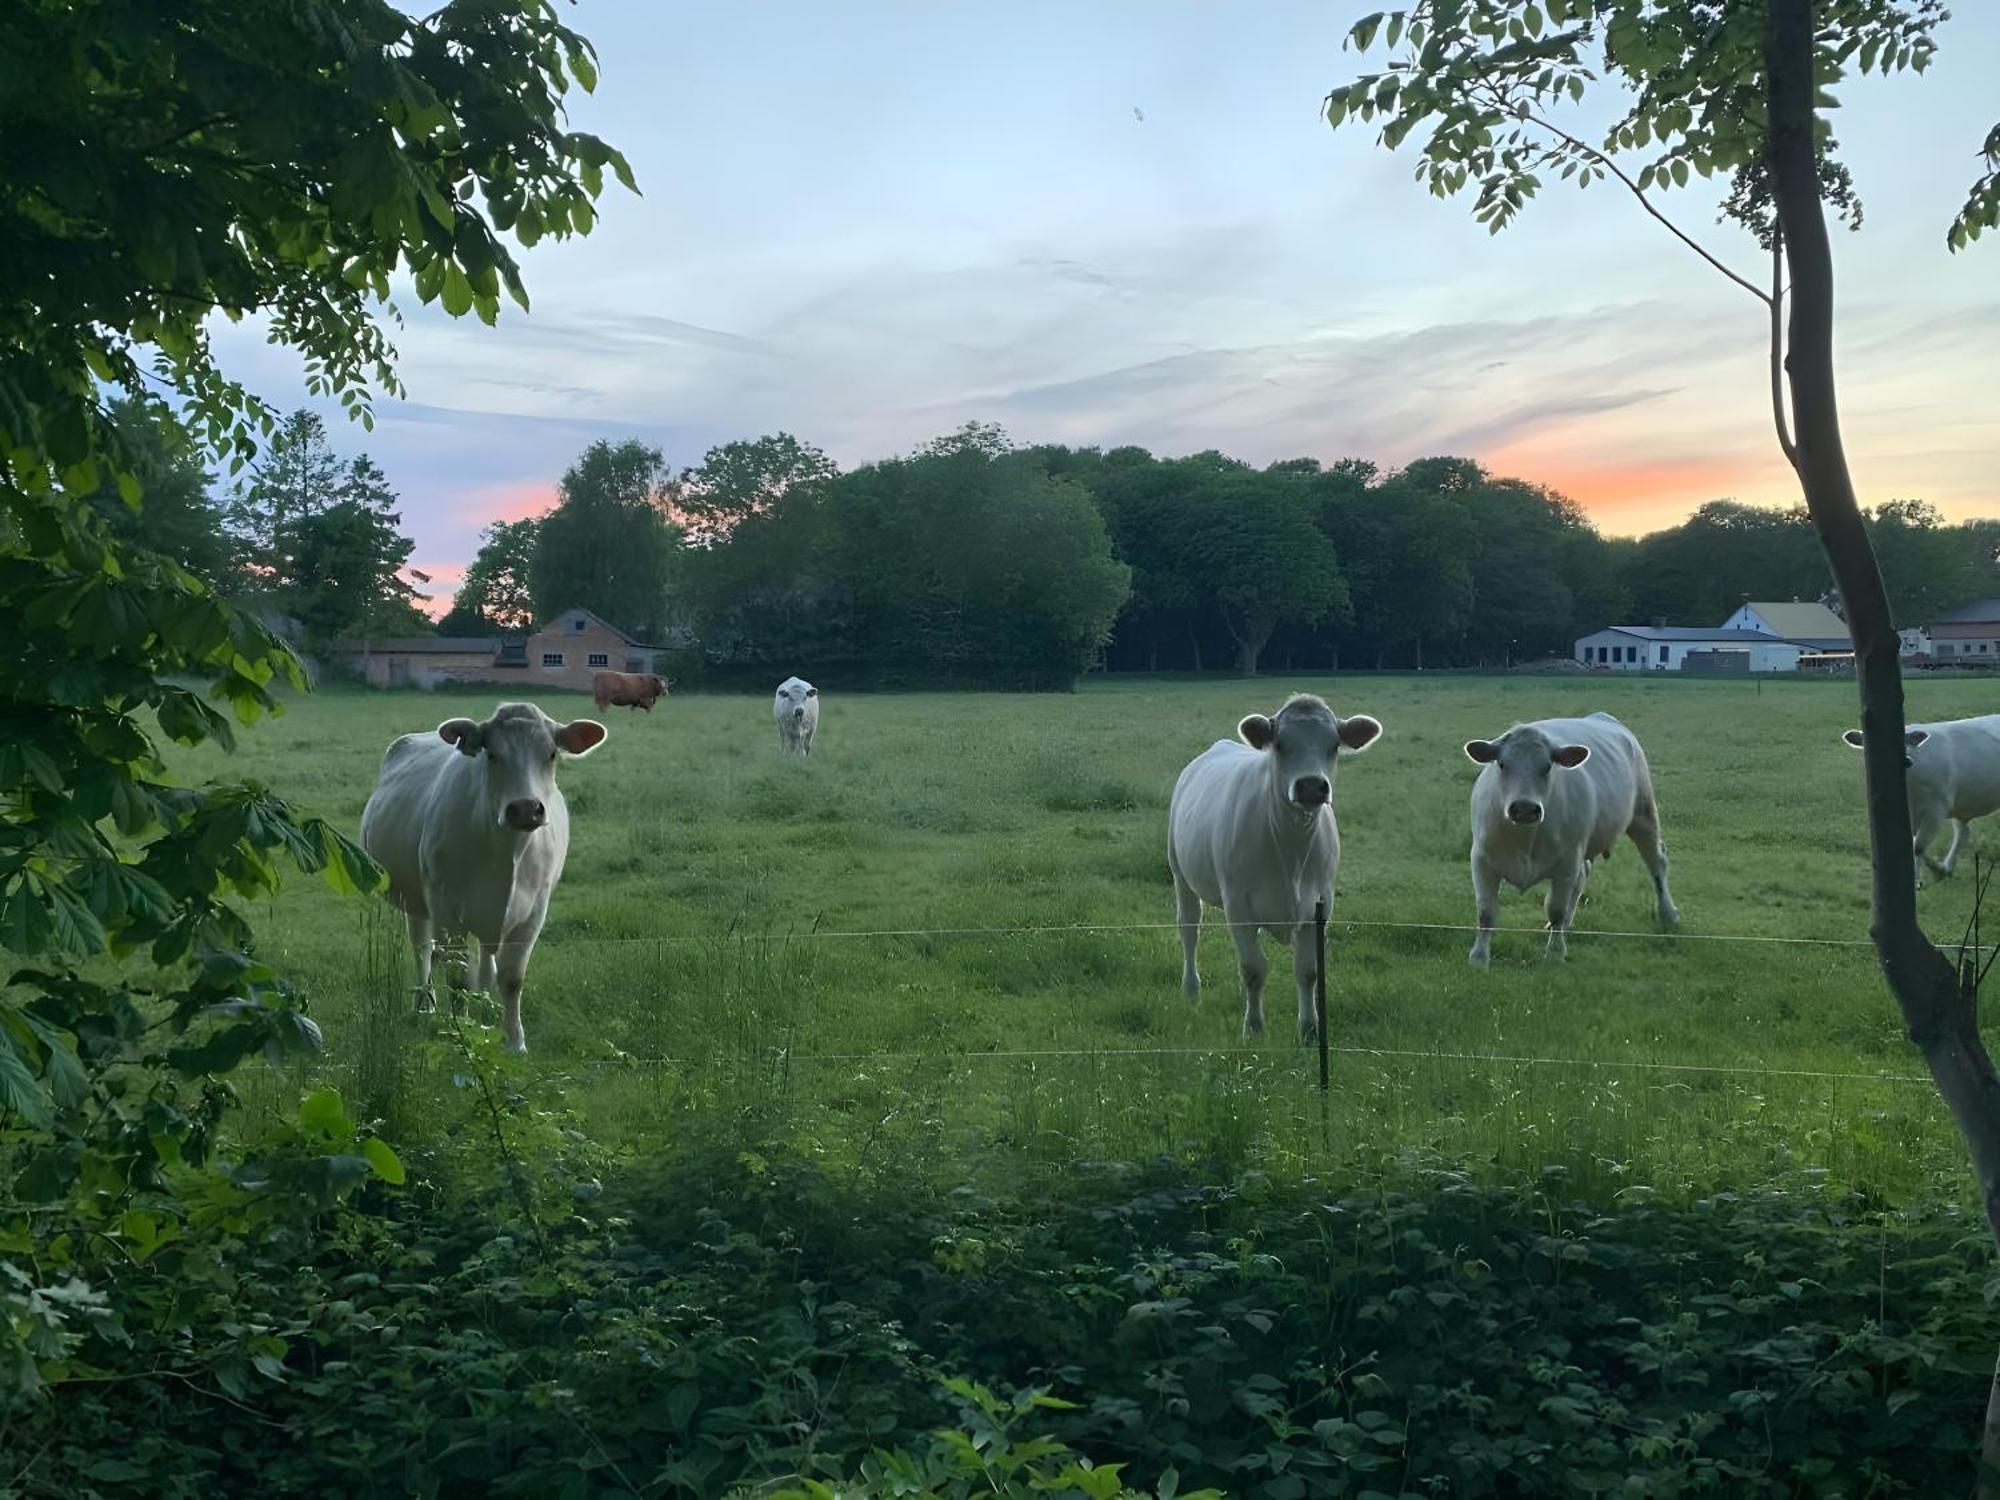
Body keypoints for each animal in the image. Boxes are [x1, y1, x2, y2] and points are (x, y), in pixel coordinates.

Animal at [360, 704, 604, 1056]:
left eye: (551, 754)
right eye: (492, 754)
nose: (525, 809)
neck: (505, 854)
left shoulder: (534, 913)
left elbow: (511, 977)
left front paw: (514, 1042)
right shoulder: (447, 910)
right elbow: (458, 976)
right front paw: (462, 1030)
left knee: (485, 964)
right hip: (417, 902)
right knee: (423, 950)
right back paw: (426, 1005)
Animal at [1168, 696, 1384, 1040]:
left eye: (1334, 745)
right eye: (1280, 744)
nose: (1311, 786)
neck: (1290, 847)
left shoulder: (1319, 906)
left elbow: (1308, 971)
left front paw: (1309, 1030)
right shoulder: (1238, 906)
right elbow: (1253, 969)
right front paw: (1254, 1028)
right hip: (1181, 874)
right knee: (1190, 930)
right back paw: (1191, 990)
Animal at [1464, 712, 1680, 968]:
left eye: (1547, 766)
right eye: (1502, 764)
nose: (1525, 808)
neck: (1525, 839)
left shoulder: (1566, 862)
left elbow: (1555, 909)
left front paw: (1555, 952)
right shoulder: (1482, 860)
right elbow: (1485, 911)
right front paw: (1479, 957)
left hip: (1643, 813)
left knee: (1656, 862)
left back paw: (1668, 913)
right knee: (1582, 877)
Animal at [1840, 712, 2000, 888]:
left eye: (1906, 741)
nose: (1906, 760)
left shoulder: (1936, 809)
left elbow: (1919, 847)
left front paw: (1929, 873)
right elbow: (1911, 844)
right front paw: (1925, 875)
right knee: (1962, 832)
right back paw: (1947, 867)